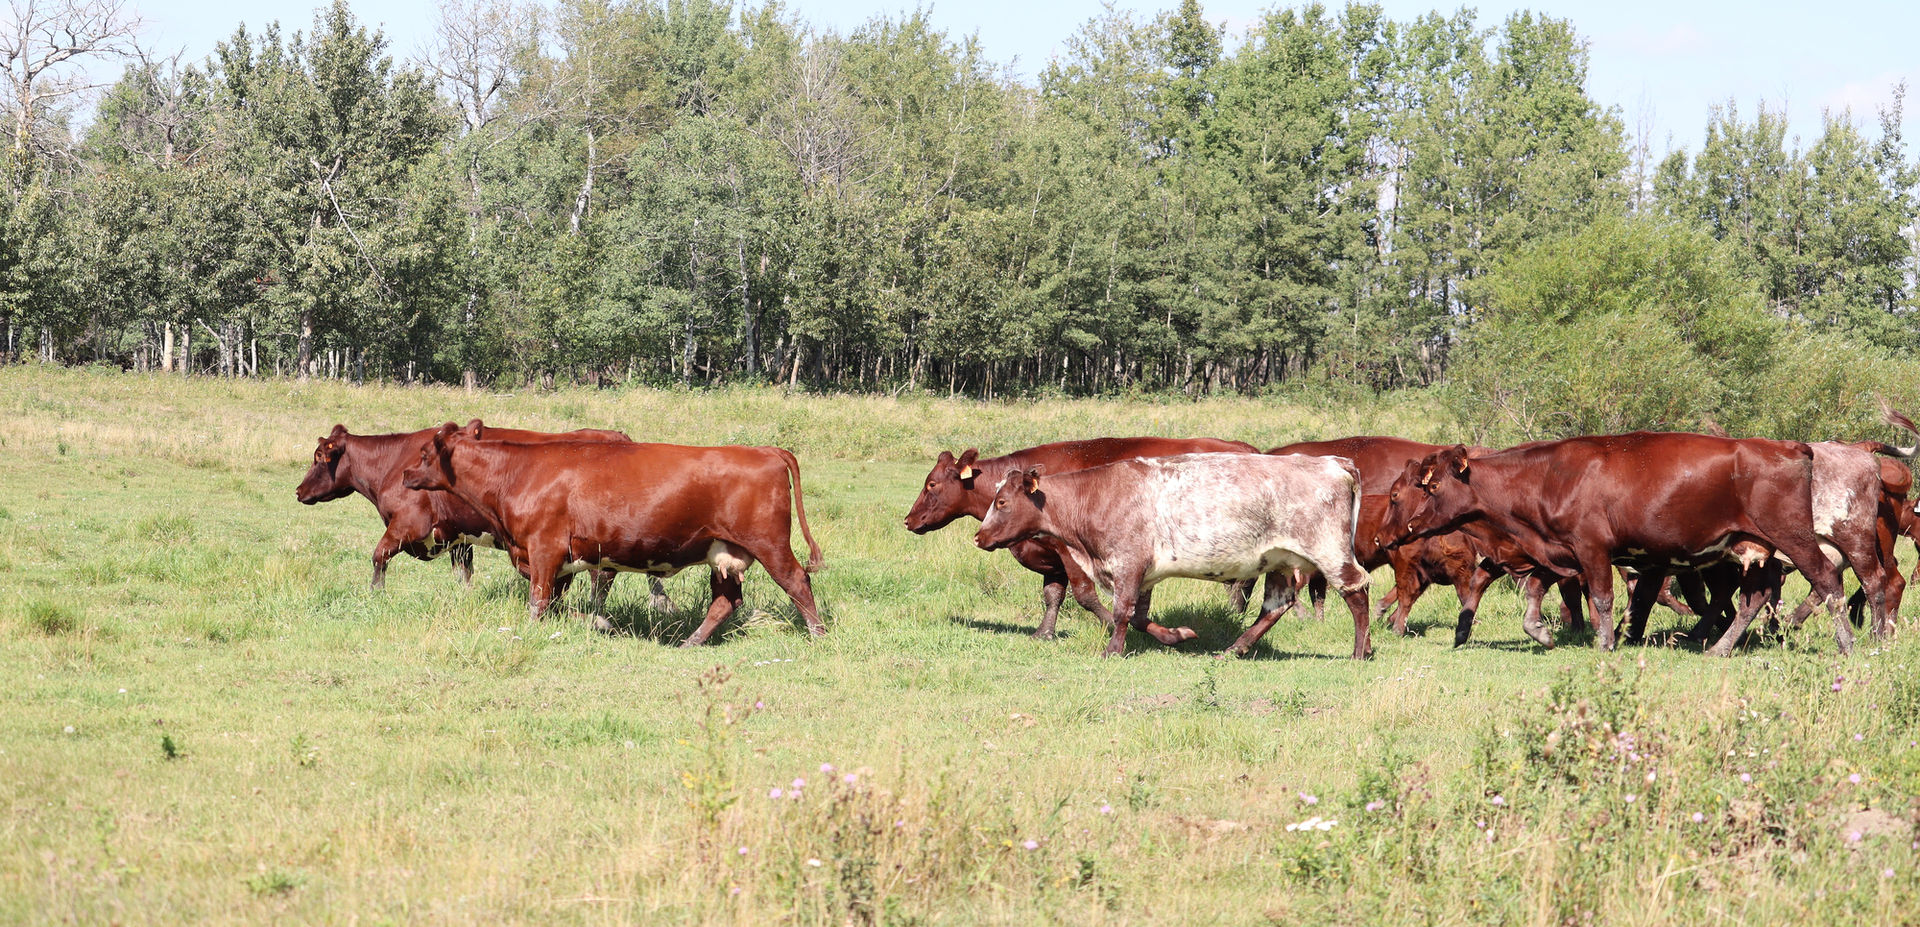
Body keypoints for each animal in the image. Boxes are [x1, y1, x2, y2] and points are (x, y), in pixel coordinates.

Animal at [295, 421, 674, 616]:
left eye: (318, 456)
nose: (298, 491)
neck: (393, 463)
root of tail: (619, 436)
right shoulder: (458, 537)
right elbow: (463, 575)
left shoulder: (407, 524)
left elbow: (378, 557)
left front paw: (376, 594)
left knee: (602, 577)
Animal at [401, 422, 824, 645]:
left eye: (423, 454)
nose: (405, 474)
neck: (517, 474)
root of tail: (763, 450)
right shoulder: (560, 560)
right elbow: (555, 602)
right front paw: (588, 623)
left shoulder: (543, 549)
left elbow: (538, 601)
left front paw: (546, 630)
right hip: (723, 551)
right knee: (725, 601)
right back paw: (690, 641)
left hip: (769, 544)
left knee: (797, 581)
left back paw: (818, 634)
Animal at [904, 437, 1257, 639]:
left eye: (932, 484)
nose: (908, 520)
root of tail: (1249, 448)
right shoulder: (1051, 556)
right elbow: (1053, 595)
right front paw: (1043, 633)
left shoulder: (1071, 552)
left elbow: (1085, 595)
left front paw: (1111, 625)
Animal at [972, 452, 1373, 659]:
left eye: (1002, 502)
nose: (978, 537)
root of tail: (1332, 461)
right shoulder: (1145, 573)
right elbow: (1138, 617)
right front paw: (1177, 635)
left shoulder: (1128, 563)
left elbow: (1121, 613)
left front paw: (1112, 651)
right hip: (1280, 559)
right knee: (1276, 605)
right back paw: (1235, 649)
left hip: (1329, 550)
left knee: (1357, 590)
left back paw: (1360, 651)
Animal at [1376, 433, 1852, 656]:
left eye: (1429, 487)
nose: (1383, 536)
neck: (1549, 476)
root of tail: (1789, 446)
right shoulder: (1555, 552)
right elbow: (1536, 595)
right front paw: (1543, 633)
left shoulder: (1592, 549)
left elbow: (1602, 599)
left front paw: (1604, 642)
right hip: (1751, 549)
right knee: (1754, 596)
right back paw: (1719, 647)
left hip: (1794, 538)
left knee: (1828, 581)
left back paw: (1847, 644)